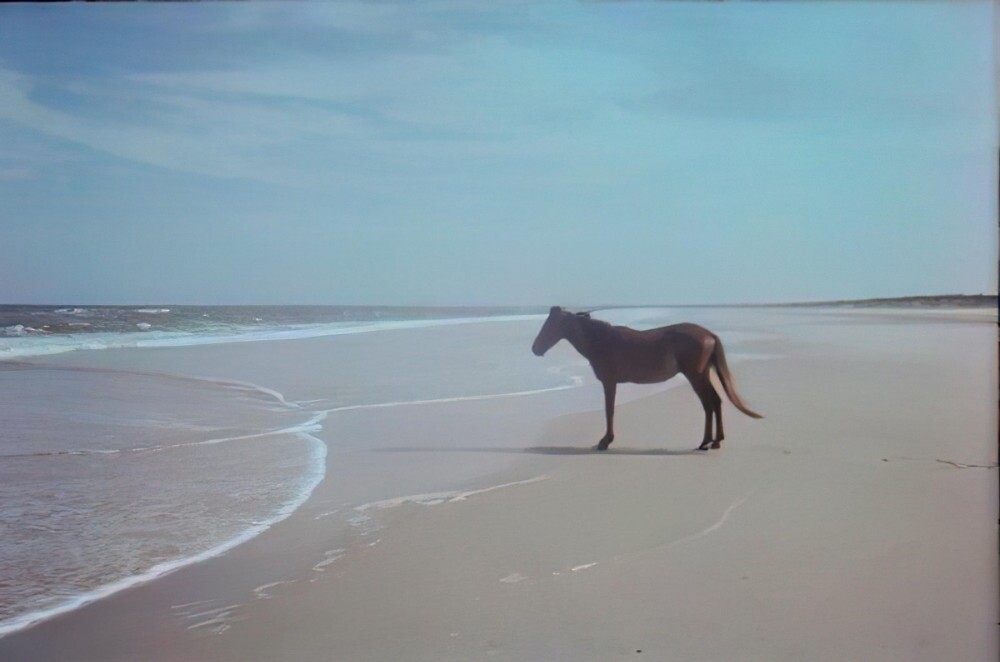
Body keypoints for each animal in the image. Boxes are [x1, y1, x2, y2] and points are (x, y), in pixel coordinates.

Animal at [531, 306, 762, 451]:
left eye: (550, 325)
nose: (535, 349)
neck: (602, 340)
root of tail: (709, 334)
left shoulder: (609, 382)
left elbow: (609, 411)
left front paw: (605, 442)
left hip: (695, 376)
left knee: (709, 403)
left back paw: (706, 442)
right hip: (702, 374)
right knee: (715, 401)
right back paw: (715, 441)